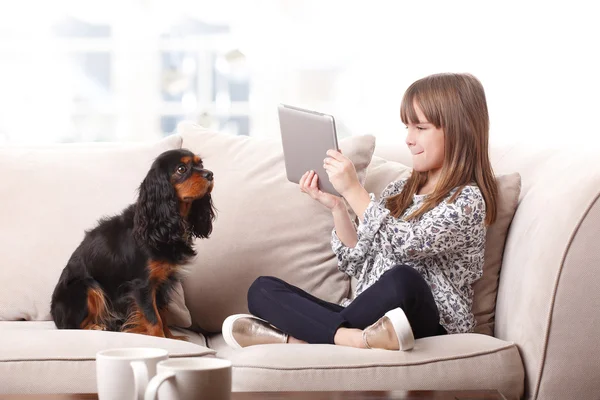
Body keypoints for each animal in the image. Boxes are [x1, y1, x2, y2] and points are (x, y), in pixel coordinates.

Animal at [50, 148, 216, 340]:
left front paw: (171, 338)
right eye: (181, 169)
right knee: (71, 326)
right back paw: (97, 327)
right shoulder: (142, 284)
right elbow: (153, 318)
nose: (210, 174)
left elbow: (162, 315)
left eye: (200, 164)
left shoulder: (161, 283)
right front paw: (160, 339)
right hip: (86, 286)